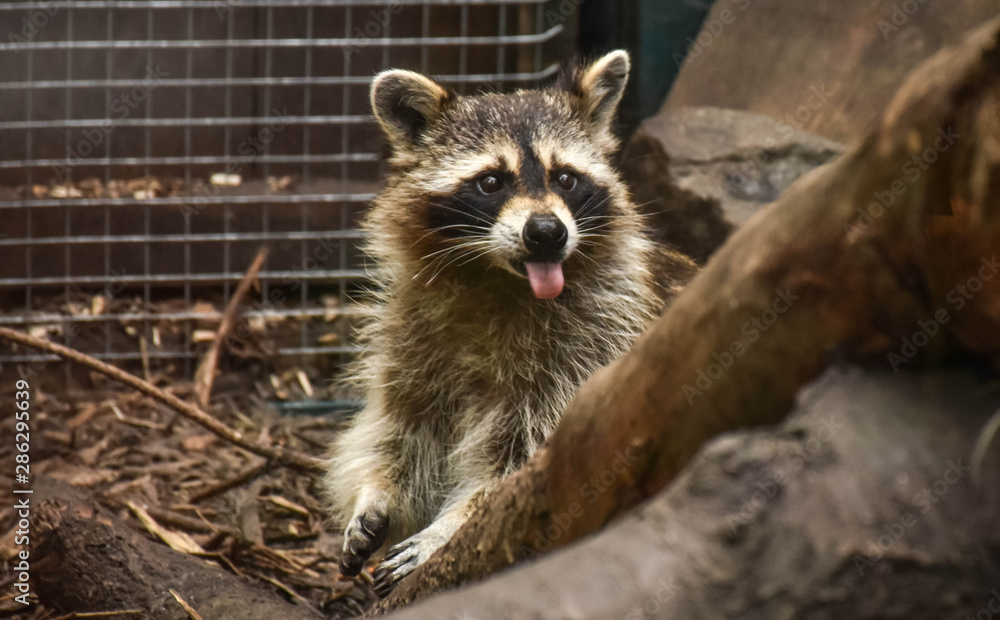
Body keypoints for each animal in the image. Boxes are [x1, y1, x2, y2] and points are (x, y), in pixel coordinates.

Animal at [323, 50, 697, 596]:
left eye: (565, 178)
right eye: (491, 182)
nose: (546, 233)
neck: (498, 281)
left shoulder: (594, 350)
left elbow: (518, 469)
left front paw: (448, 528)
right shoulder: (411, 338)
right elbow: (401, 430)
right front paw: (376, 494)